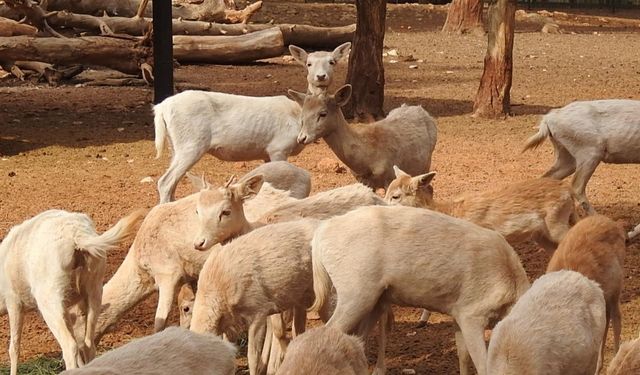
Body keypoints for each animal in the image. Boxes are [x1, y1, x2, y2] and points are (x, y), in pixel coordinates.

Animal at [0, 210, 142, 374]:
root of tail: (77, 237)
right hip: (94, 289)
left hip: (49, 298)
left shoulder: (13, 300)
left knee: (69, 345)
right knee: (88, 344)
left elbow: (14, 347)